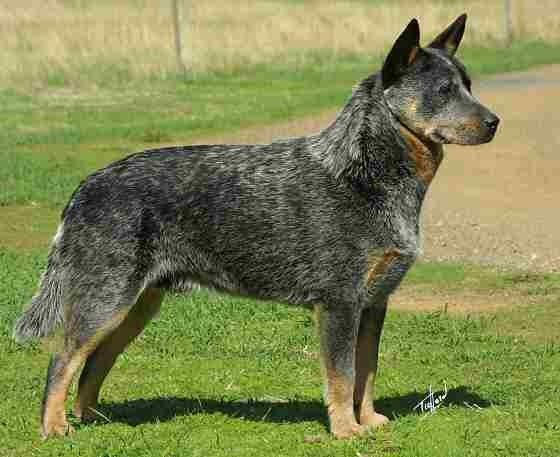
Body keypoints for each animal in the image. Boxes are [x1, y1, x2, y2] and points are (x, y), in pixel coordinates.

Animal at [15, 15, 498, 438]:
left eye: (468, 85)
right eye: (443, 90)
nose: (495, 121)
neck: (367, 174)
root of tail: (86, 185)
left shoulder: (375, 302)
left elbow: (368, 370)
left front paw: (371, 421)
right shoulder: (340, 303)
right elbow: (342, 375)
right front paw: (346, 431)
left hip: (136, 306)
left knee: (94, 363)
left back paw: (93, 420)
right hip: (108, 301)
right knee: (61, 360)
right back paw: (54, 427)